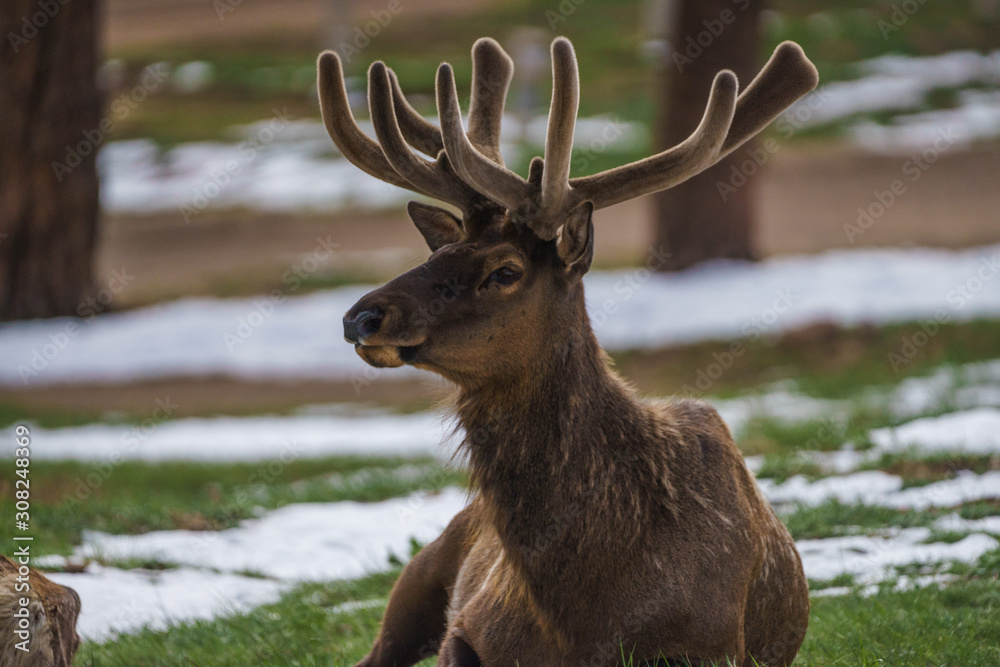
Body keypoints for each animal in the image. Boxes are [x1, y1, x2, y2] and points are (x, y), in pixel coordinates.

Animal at [320, 35, 818, 666]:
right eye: (439, 252)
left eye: (505, 270)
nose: (361, 316)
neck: (583, 615)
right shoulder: (468, 627)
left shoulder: (713, 645)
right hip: (419, 574)